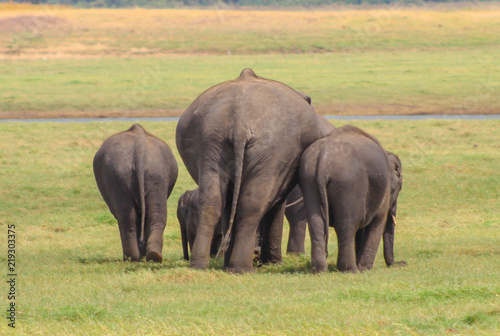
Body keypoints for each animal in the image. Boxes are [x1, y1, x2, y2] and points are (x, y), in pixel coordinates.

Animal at [93, 123, 178, 262]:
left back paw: (131, 258)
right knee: (156, 213)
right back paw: (153, 255)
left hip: (117, 176)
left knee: (126, 217)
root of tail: (140, 153)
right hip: (157, 174)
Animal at [177, 68, 328, 272]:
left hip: (209, 142)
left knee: (213, 201)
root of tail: (240, 123)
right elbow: (276, 203)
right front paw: (272, 263)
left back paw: (200, 266)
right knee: (252, 204)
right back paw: (242, 268)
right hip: (273, 150)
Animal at [298, 124, 404, 272]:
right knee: (348, 225)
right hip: (349, 183)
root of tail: (324, 159)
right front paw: (365, 269)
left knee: (316, 223)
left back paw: (319, 270)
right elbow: (378, 220)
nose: (402, 263)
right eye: (399, 189)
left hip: (309, 179)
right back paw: (352, 270)